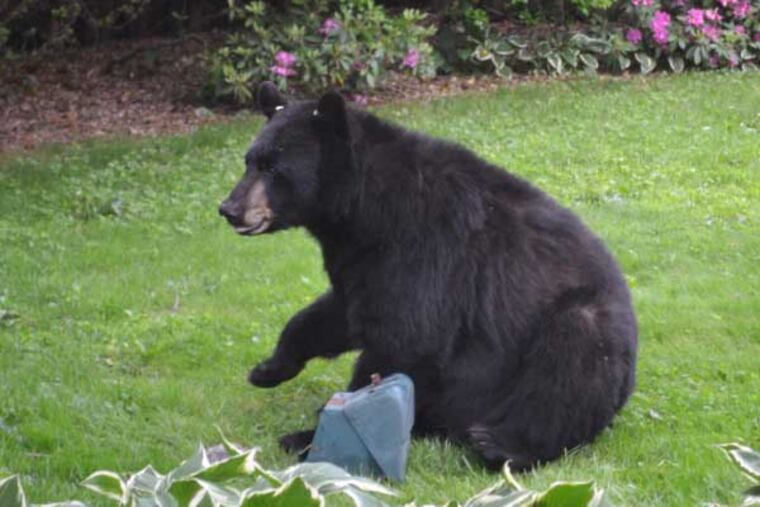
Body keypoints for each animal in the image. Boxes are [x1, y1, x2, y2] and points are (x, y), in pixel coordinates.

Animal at [218, 82, 638, 472]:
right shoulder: (359, 260)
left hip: (582, 334)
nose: (230, 209)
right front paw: (269, 368)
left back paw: (502, 446)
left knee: (568, 362)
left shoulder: (423, 246)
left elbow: (408, 333)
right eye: (249, 161)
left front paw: (316, 432)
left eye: (275, 168)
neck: (364, 206)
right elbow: (337, 313)